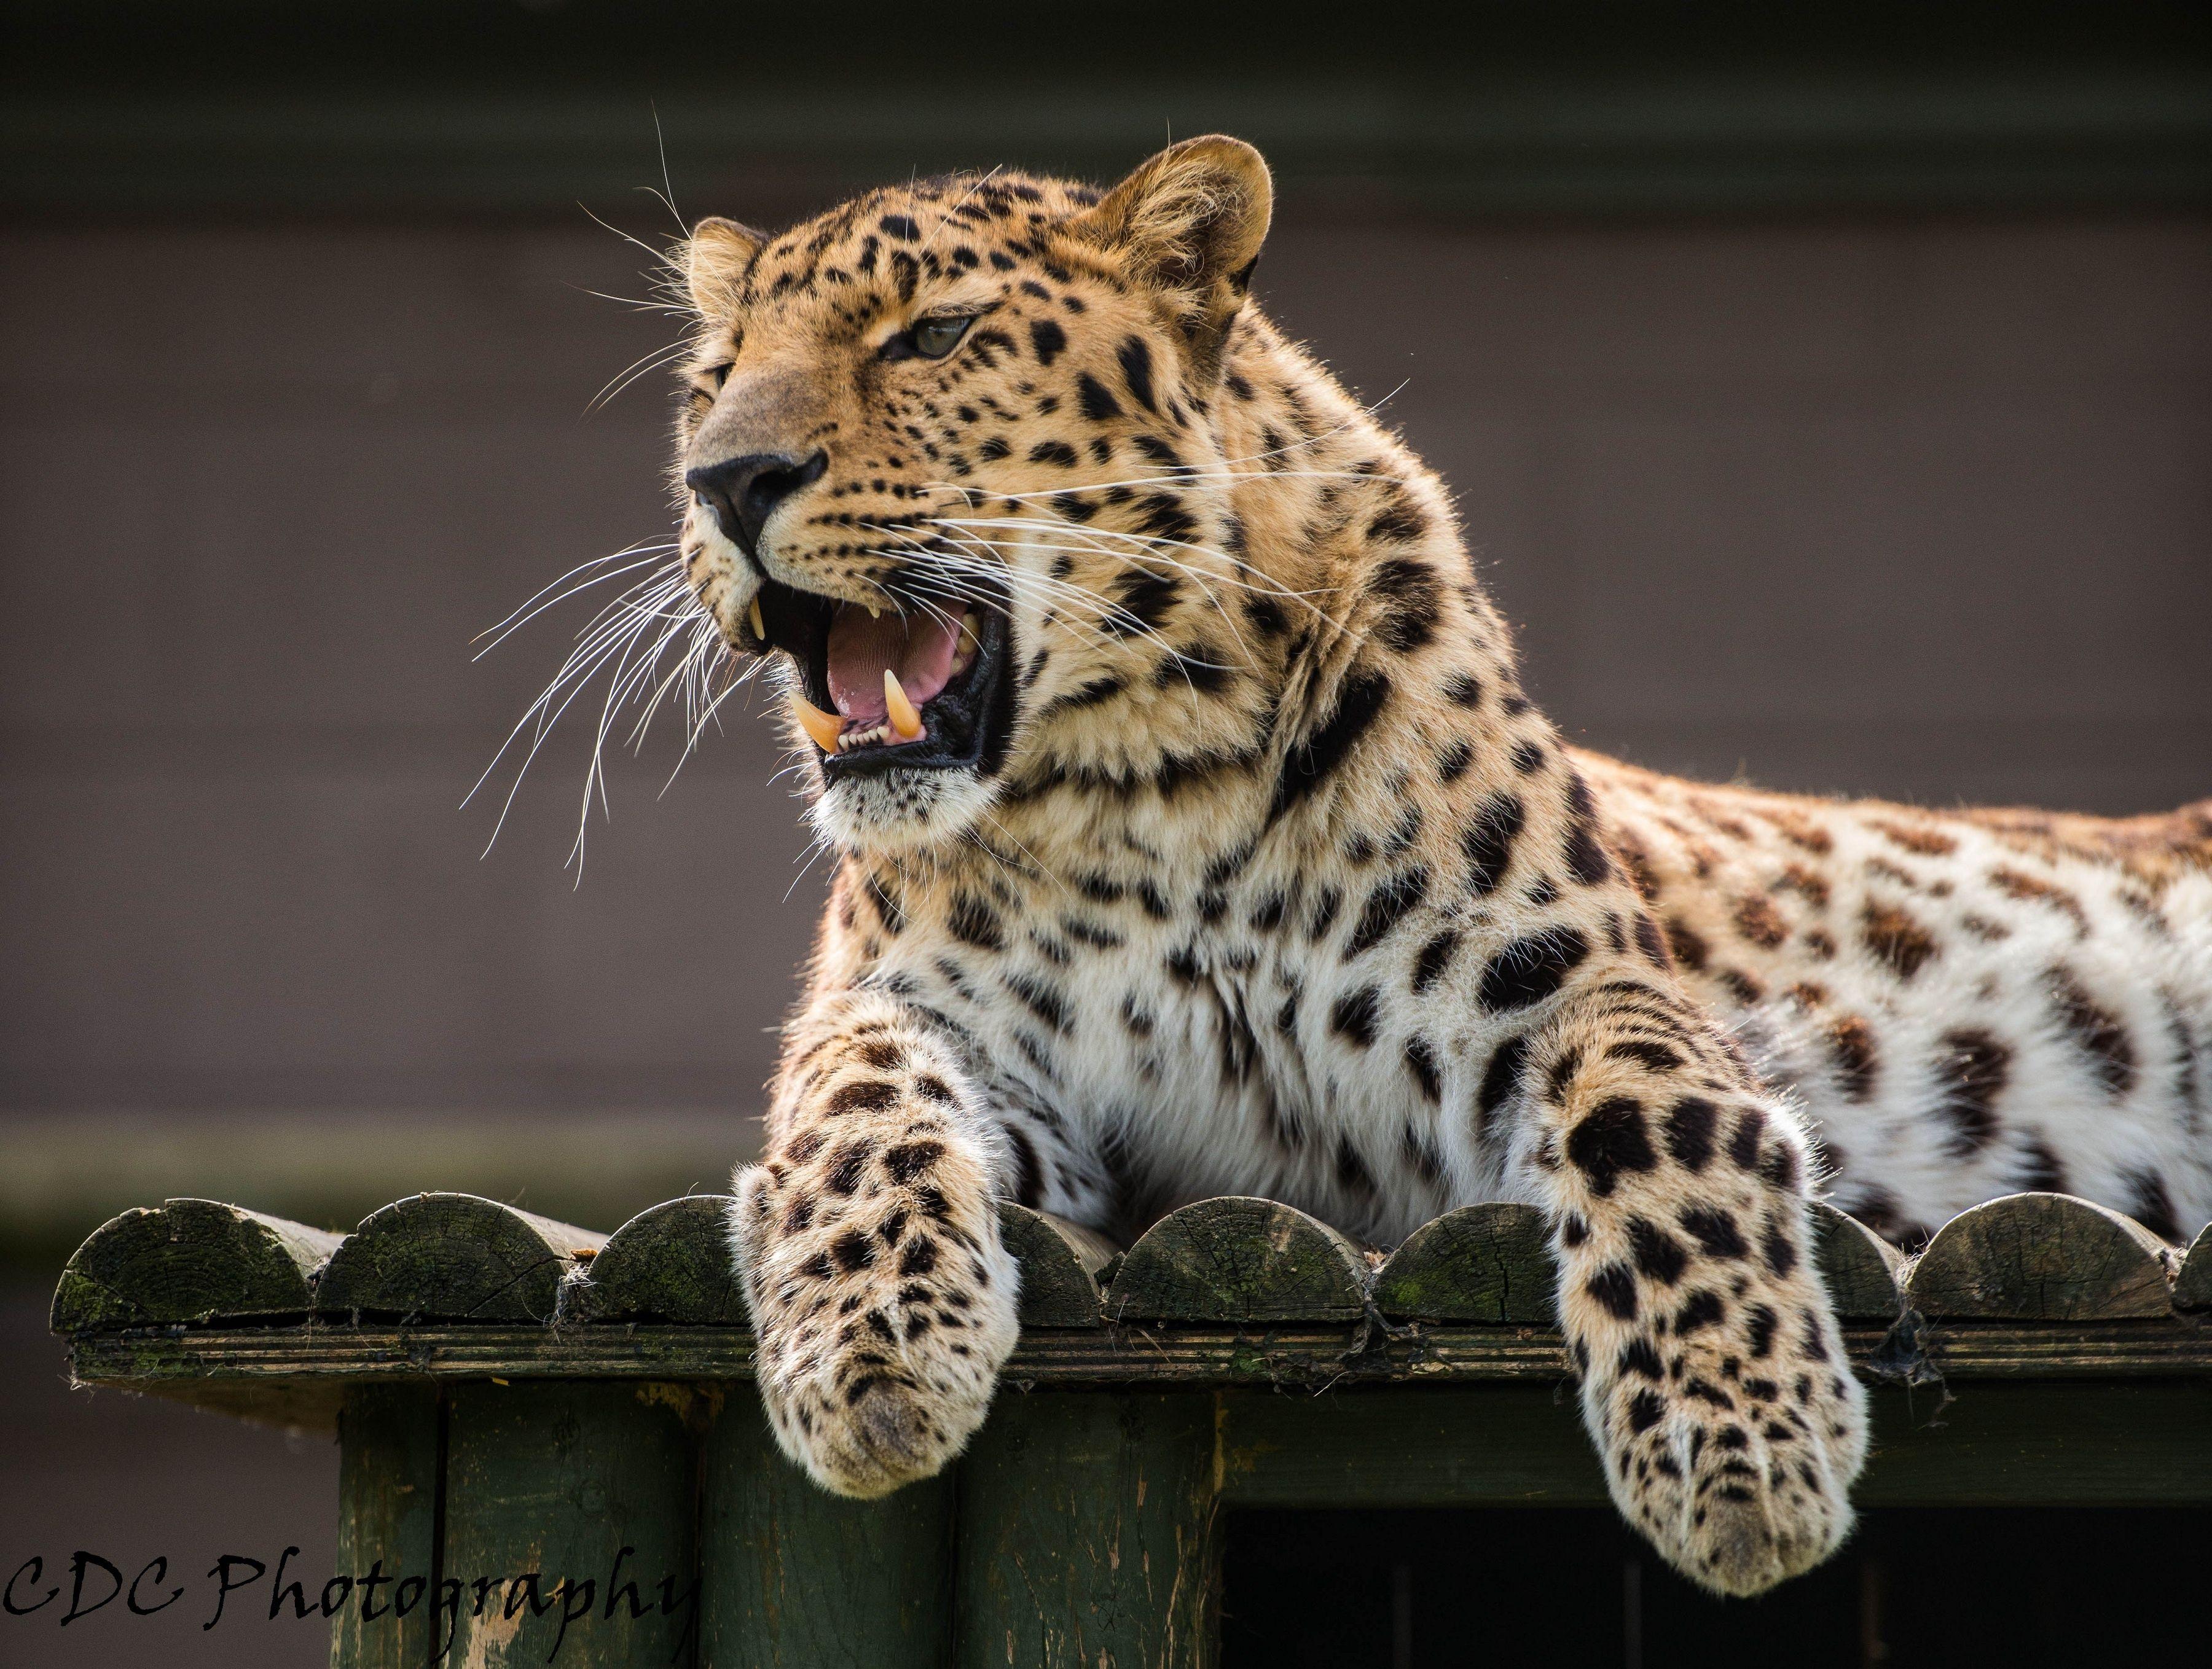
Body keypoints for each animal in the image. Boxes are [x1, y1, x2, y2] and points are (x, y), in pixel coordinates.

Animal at [644, 136, 2212, 1596]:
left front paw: (1739, 1447)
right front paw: (869, 1356)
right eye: (714, 380)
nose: (725, 481)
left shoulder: (1566, 986)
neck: (1144, 795)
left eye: (933, 336)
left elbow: (1660, 1123)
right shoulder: (970, 1037)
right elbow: (847, 1095)